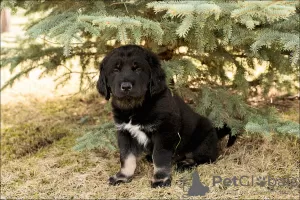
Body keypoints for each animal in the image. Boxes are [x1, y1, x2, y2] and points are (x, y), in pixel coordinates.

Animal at [97, 45, 233, 188]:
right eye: (115, 69)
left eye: (138, 68)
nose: (126, 87)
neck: (135, 107)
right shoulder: (124, 132)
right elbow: (126, 157)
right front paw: (122, 177)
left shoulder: (164, 131)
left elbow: (160, 156)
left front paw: (160, 179)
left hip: (203, 139)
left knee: (206, 157)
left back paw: (185, 164)